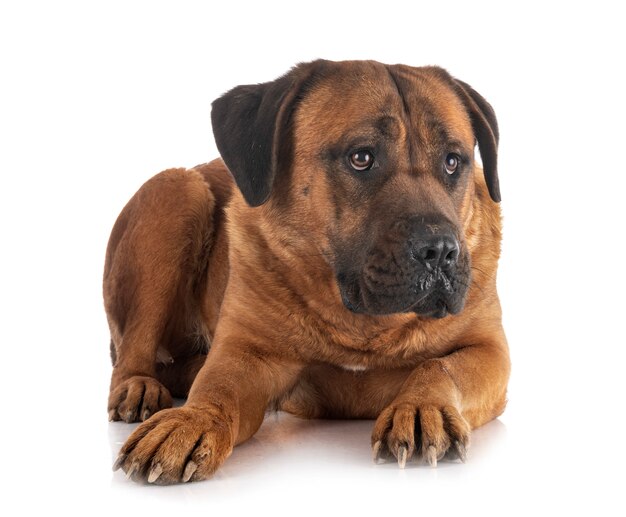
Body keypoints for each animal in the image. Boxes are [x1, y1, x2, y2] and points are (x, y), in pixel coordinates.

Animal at [105, 60, 510, 484]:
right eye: (361, 157)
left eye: (452, 161)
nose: (441, 250)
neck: (362, 323)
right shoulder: (246, 353)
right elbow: (218, 389)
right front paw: (190, 420)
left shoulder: (490, 350)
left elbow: (441, 366)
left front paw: (419, 408)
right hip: (177, 193)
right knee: (130, 355)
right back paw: (139, 388)